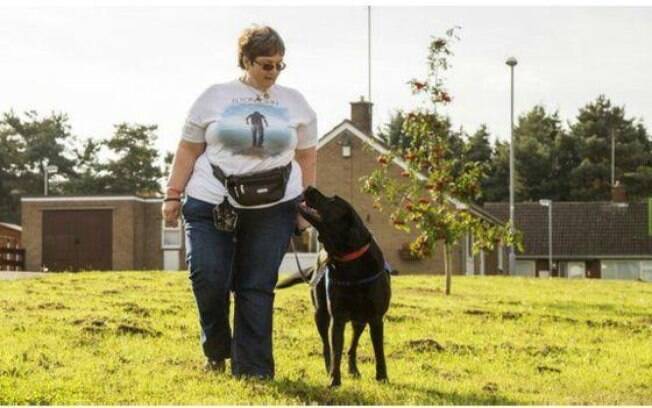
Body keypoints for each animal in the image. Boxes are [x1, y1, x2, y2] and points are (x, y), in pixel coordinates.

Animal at [278, 186, 390, 388]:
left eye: (333, 201)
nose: (309, 187)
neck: (350, 262)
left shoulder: (376, 318)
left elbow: (379, 351)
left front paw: (382, 377)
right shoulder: (337, 317)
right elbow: (336, 349)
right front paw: (334, 379)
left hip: (360, 320)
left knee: (353, 345)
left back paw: (353, 370)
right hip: (320, 313)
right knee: (326, 346)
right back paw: (329, 368)